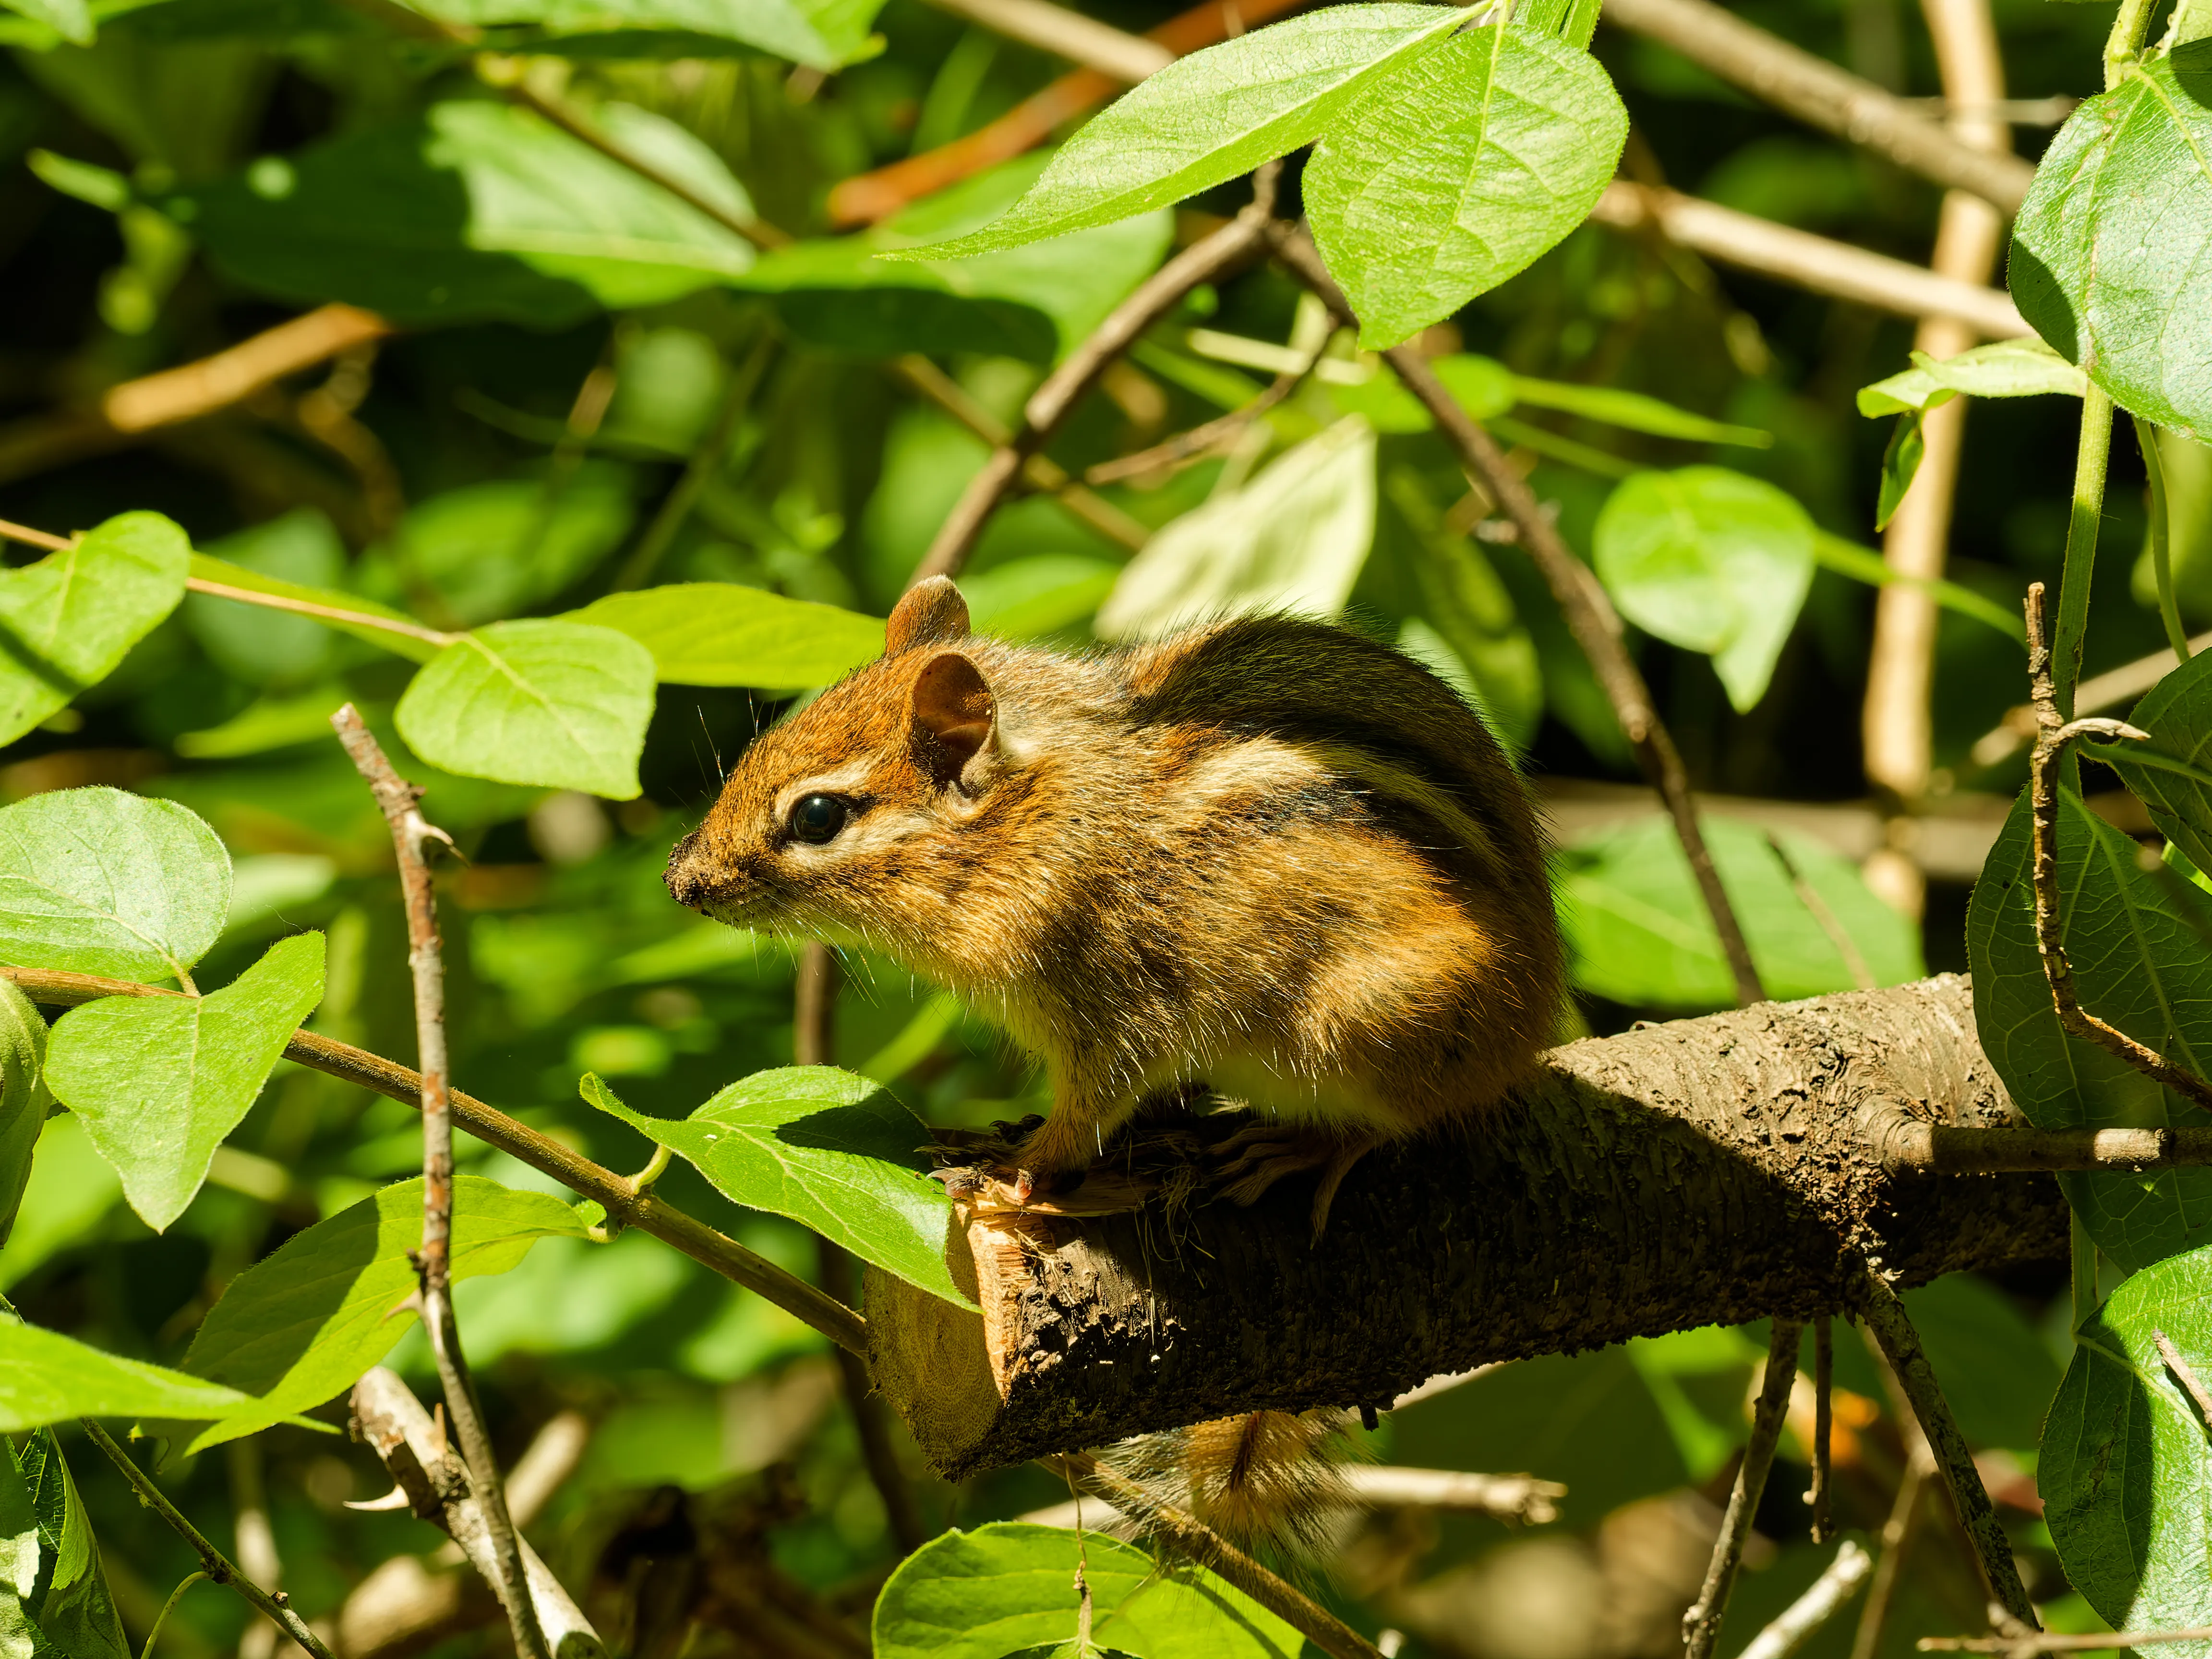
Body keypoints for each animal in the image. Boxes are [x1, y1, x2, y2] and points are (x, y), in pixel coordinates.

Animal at [664, 574, 1564, 1236]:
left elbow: (1089, 1112)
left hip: (1368, 1021)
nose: (681, 882)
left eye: (817, 817)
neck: (1038, 821)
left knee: (1404, 1117)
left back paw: (1299, 1146)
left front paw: (1015, 1174)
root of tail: (1534, 1018)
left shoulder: (1115, 1009)